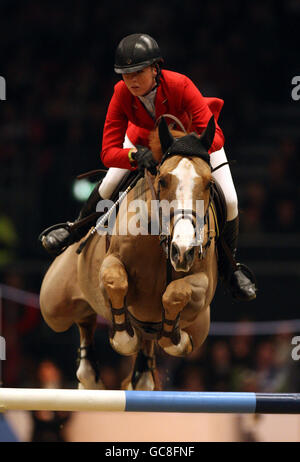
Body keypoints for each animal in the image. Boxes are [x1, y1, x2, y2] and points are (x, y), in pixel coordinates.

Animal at [39, 115, 218, 390]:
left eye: (209, 184)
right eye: (162, 180)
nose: (183, 250)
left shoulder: (203, 290)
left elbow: (176, 294)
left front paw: (173, 336)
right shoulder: (111, 263)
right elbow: (115, 281)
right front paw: (124, 337)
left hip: (201, 325)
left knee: (143, 343)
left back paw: (140, 372)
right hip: (54, 306)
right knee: (83, 317)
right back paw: (90, 376)